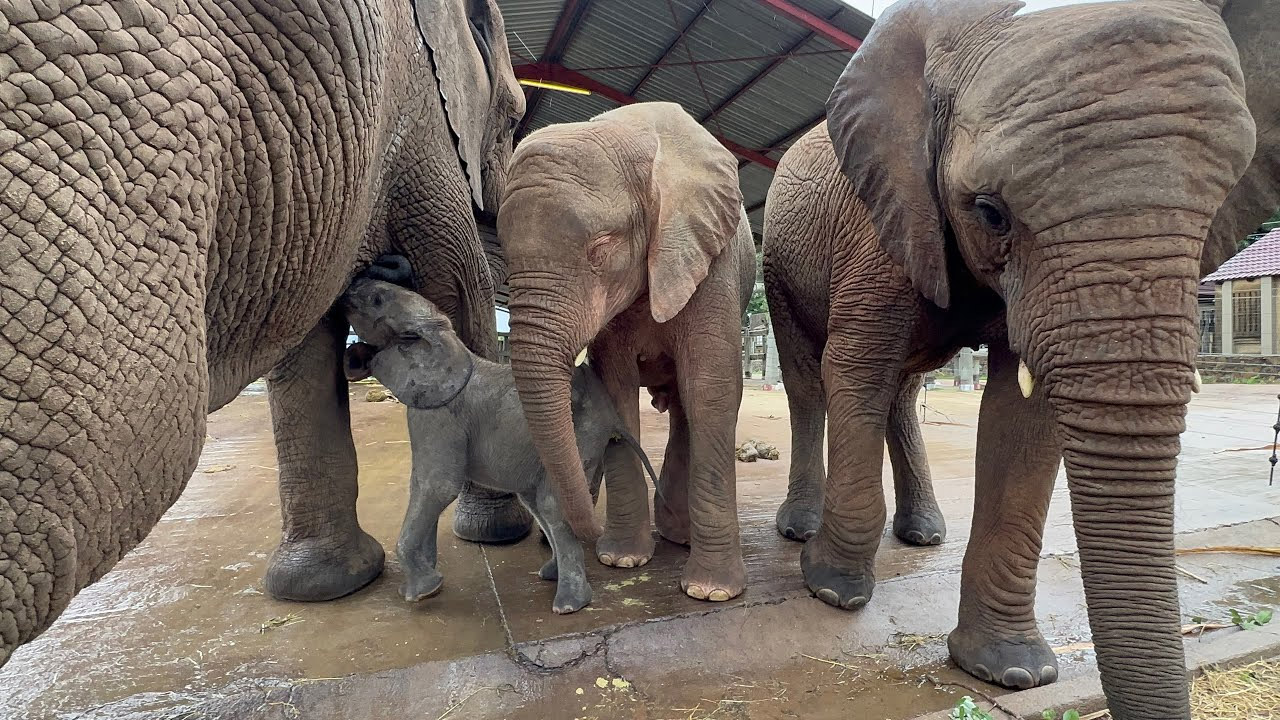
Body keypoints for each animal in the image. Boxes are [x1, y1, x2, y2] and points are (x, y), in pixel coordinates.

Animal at [0, 0, 529, 666]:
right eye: (513, 119)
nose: (381, 270)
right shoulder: (420, 118)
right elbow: (460, 284)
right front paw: (498, 534)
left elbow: (309, 345)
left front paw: (324, 589)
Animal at [340, 272, 660, 609]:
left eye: (377, 299)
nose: (348, 289)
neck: (445, 337)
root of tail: (611, 415)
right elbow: (421, 486)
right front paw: (423, 587)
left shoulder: (442, 416)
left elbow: (438, 487)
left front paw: (421, 593)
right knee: (538, 504)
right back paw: (550, 575)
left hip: (584, 434)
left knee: (550, 505)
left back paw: (568, 605)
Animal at [499, 101, 757, 602]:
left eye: (601, 249)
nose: (585, 535)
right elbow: (614, 393)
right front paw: (621, 560)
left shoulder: (712, 262)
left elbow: (711, 391)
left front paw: (711, 591)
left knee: (687, 407)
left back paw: (681, 536)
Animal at [757, 1, 1269, 717]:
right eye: (990, 212)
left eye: (1221, 206)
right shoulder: (878, 215)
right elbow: (854, 370)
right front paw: (831, 591)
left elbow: (1022, 416)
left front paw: (1012, 673)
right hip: (780, 262)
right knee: (812, 380)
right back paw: (803, 532)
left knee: (902, 390)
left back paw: (924, 536)